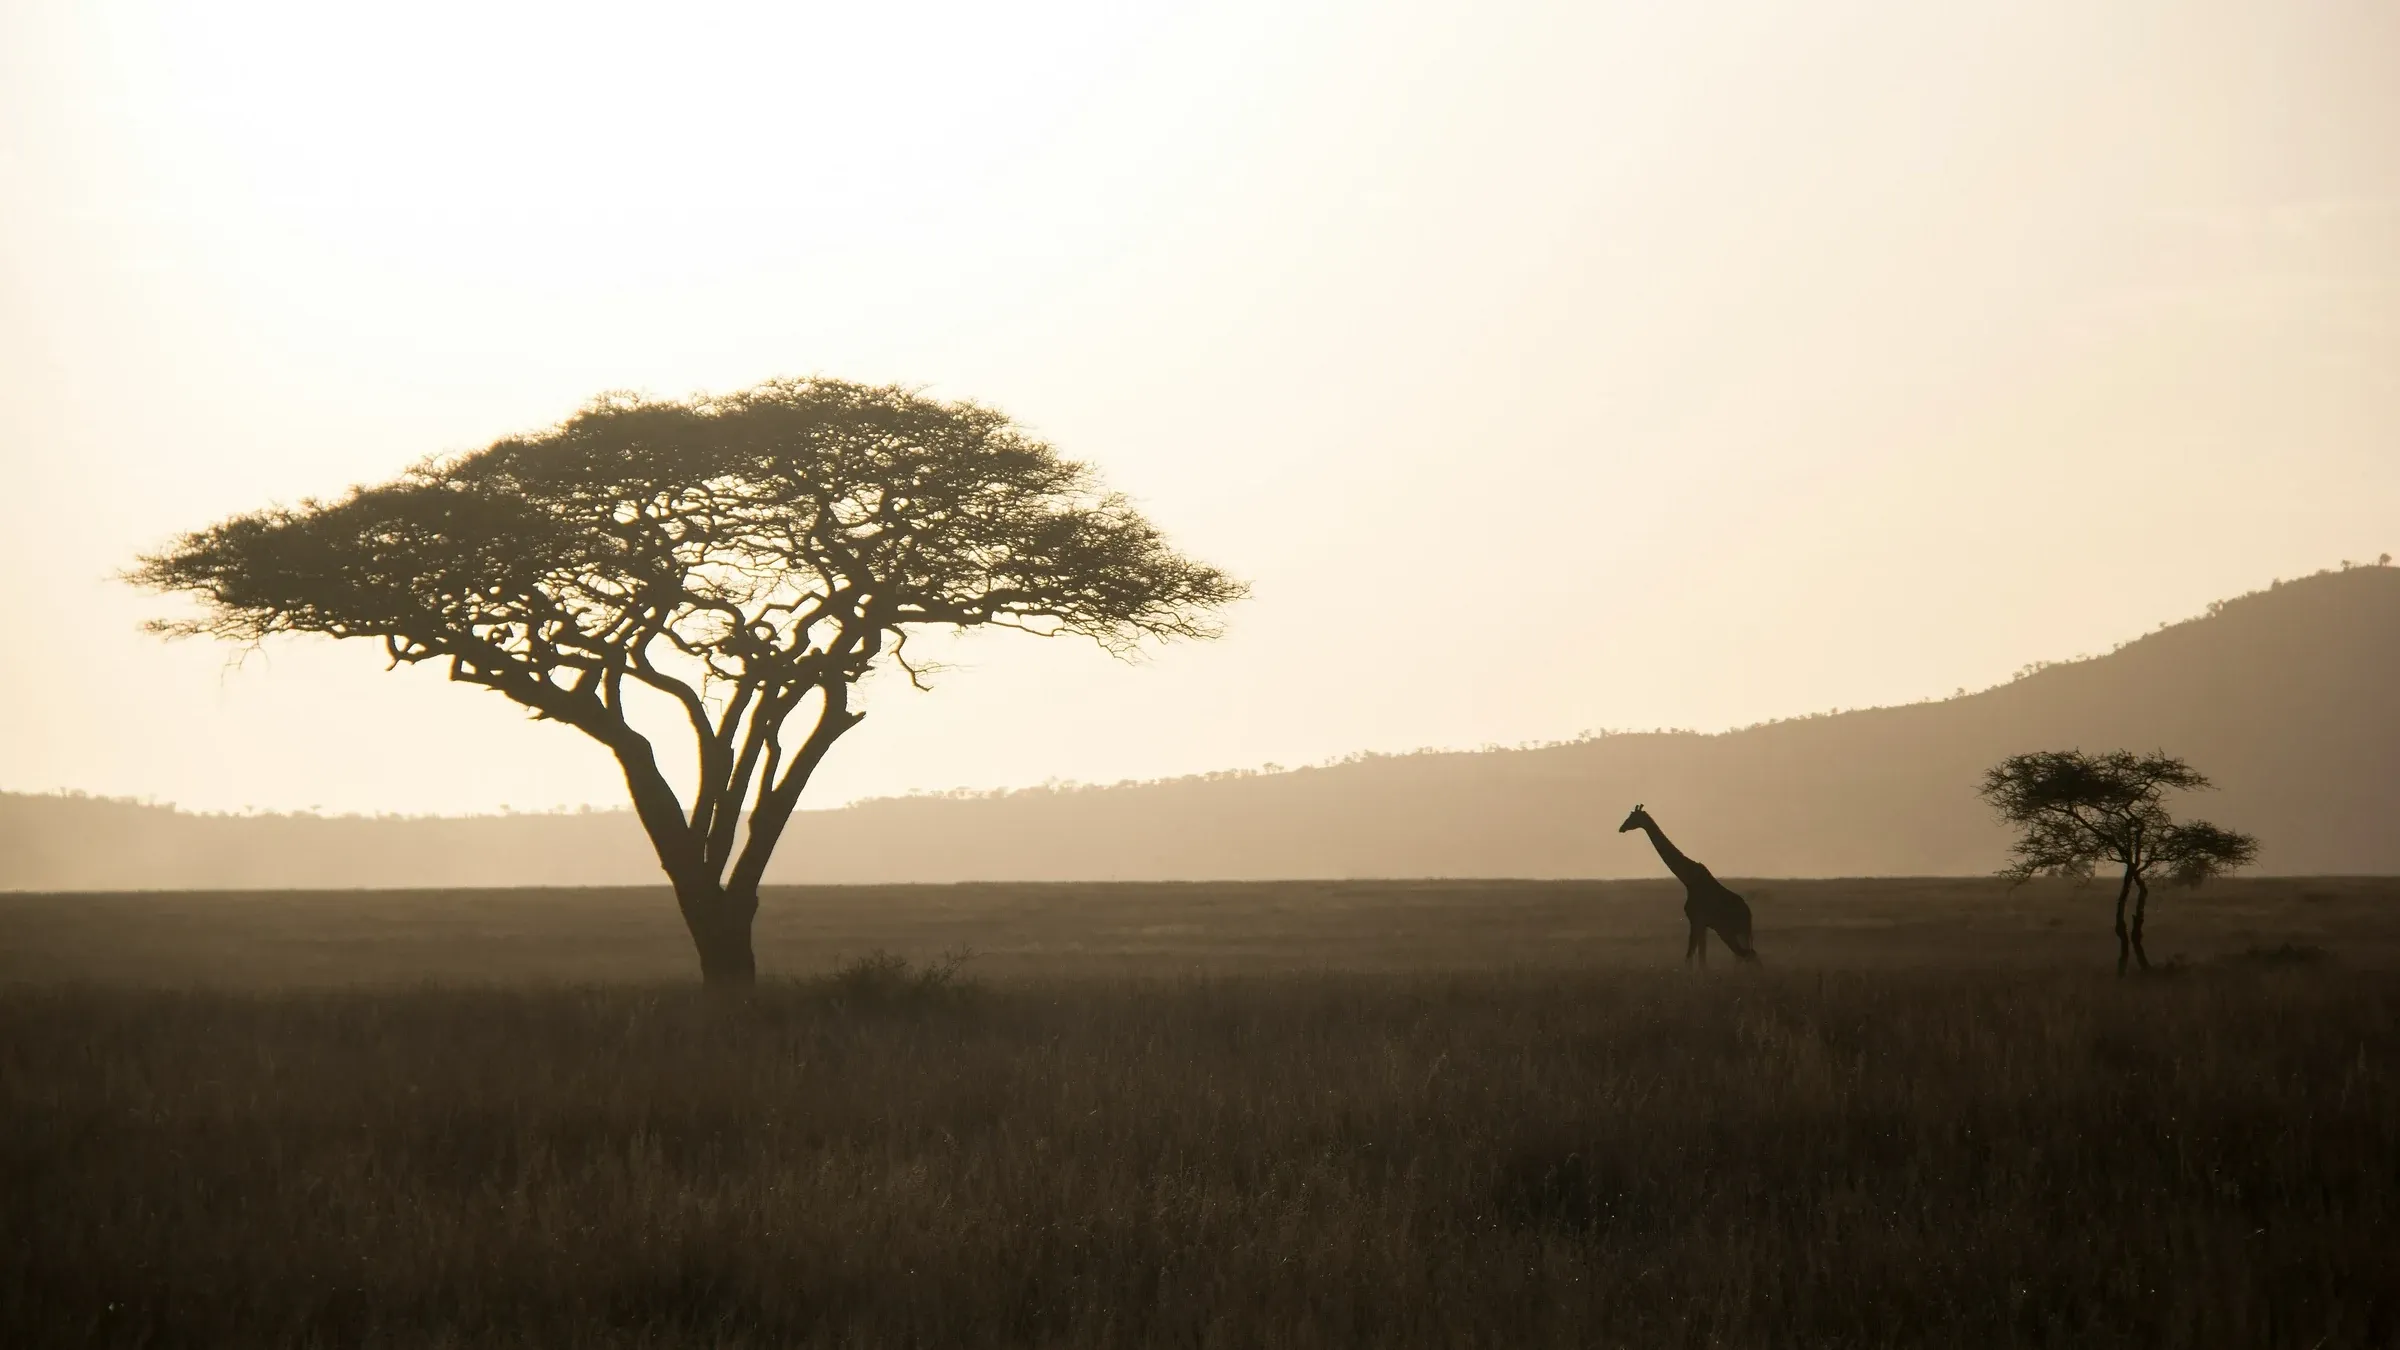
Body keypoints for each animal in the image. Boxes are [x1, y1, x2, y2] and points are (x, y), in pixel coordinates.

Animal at [1618, 804, 1759, 966]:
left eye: (1632, 817)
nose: (1621, 828)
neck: (1688, 880)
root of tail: (1748, 914)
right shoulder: (1703, 925)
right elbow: (1701, 960)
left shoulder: (1696, 920)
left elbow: (1690, 959)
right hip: (1736, 933)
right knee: (1747, 956)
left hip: (1729, 931)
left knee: (1748, 956)